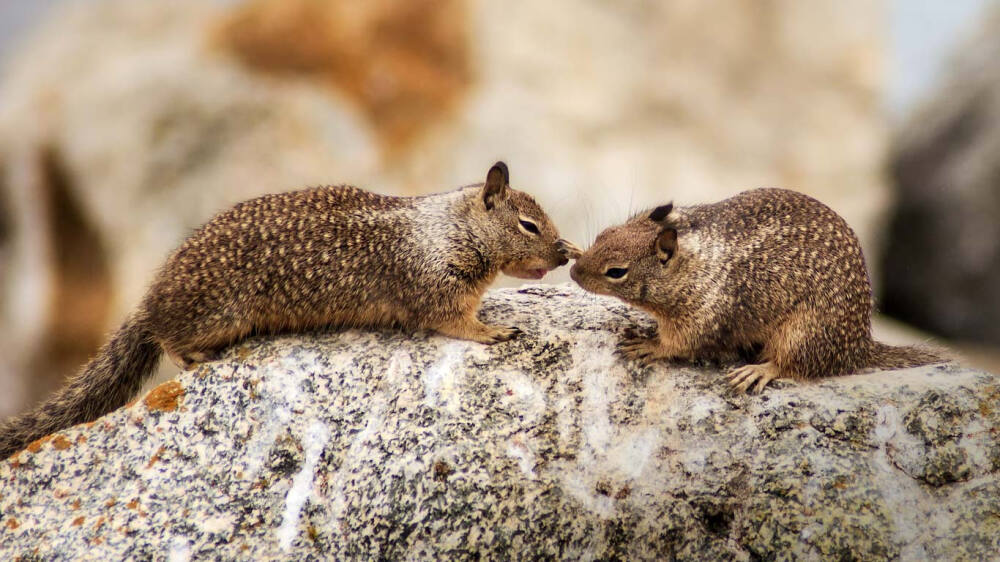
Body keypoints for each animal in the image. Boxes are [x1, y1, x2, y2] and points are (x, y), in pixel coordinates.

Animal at [0, 160, 580, 458]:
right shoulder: (435, 287)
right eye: (529, 225)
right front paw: (494, 331)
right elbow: (456, 322)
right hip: (216, 314)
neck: (448, 227)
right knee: (168, 338)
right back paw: (194, 357)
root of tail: (151, 297)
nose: (562, 253)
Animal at [572, 186, 944, 392]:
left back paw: (757, 371)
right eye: (604, 234)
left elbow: (679, 344)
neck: (692, 265)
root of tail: (859, 347)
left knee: (794, 366)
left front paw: (648, 345)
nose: (574, 273)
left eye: (616, 272)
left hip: (803, 333)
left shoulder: (702, 317)